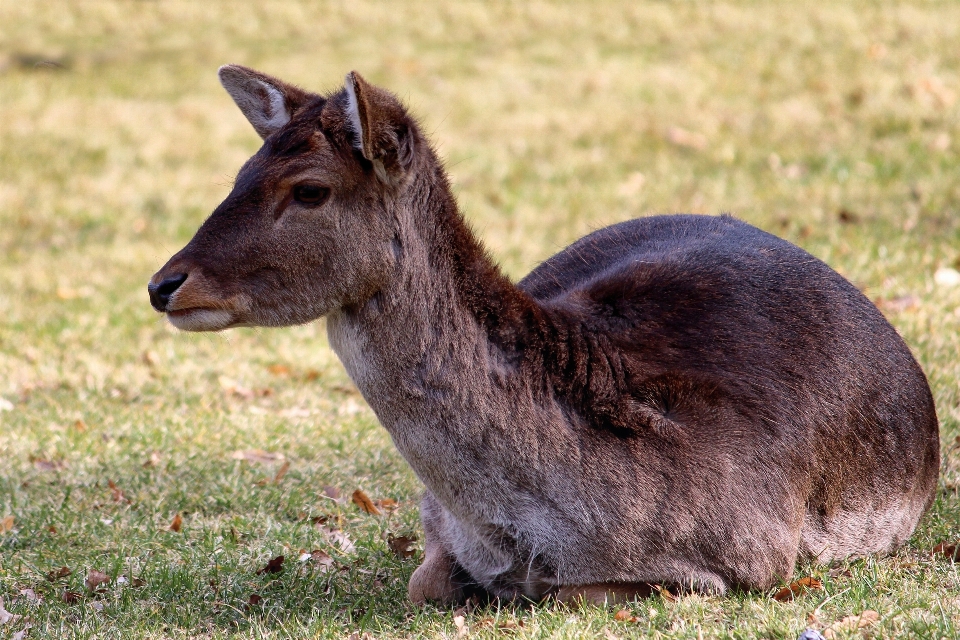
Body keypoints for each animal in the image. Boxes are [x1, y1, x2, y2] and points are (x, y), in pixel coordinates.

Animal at [148, 67, 936, 608]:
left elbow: (569, 591)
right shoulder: (432, 520)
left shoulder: (754, 556)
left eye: (309, 188)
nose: (165, 283)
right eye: (242, 171)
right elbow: (424, 583)